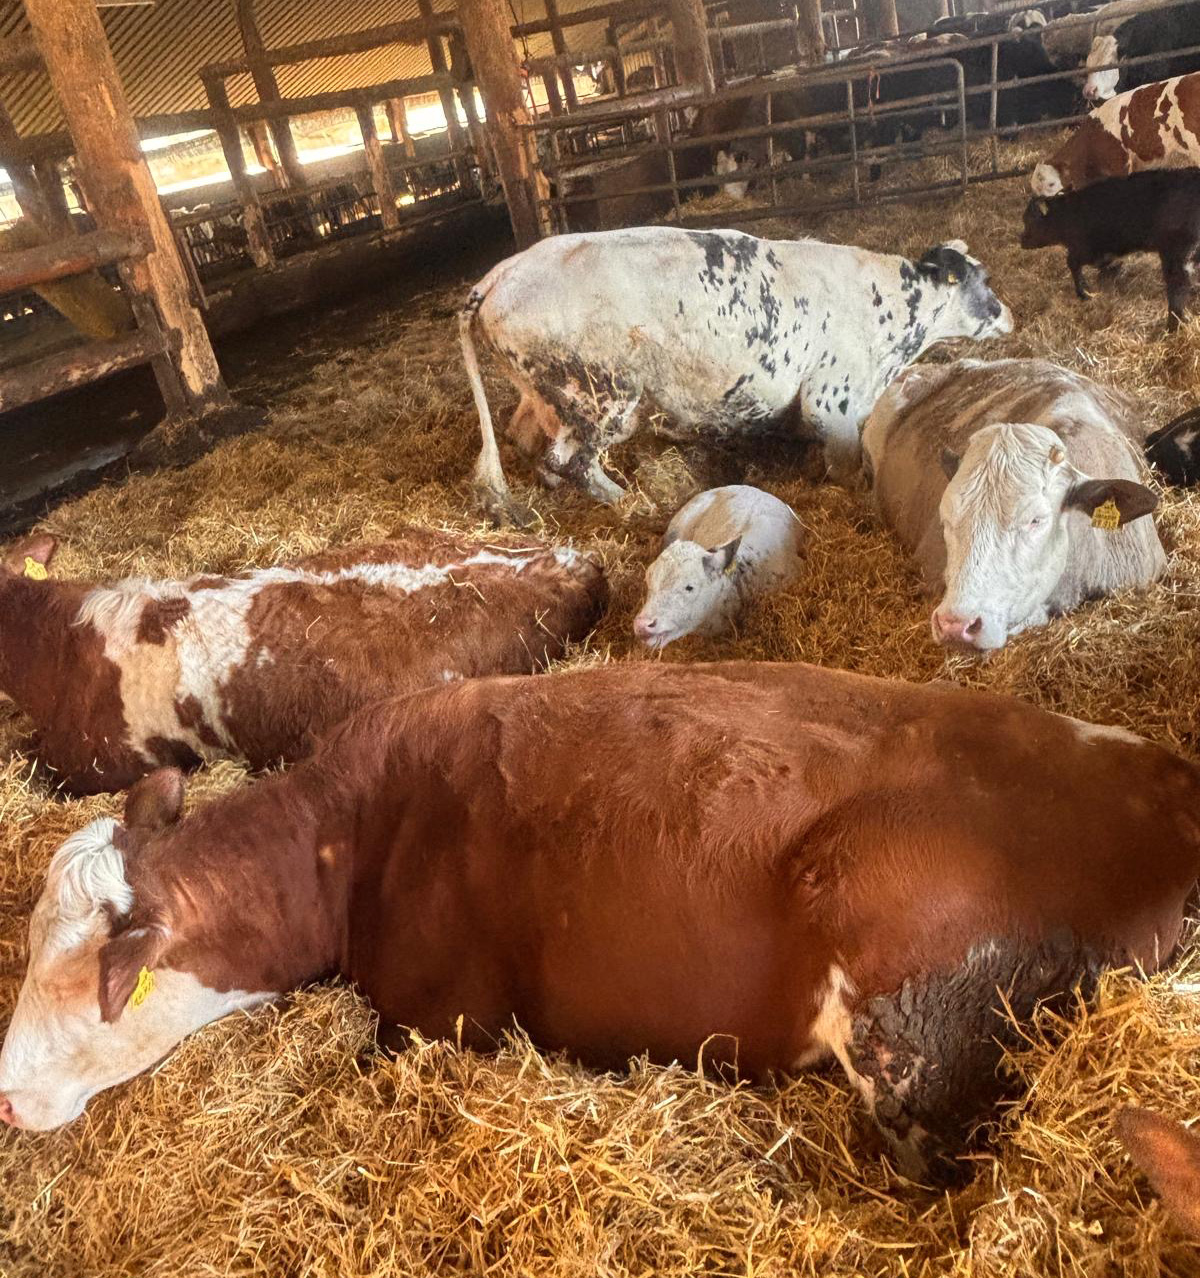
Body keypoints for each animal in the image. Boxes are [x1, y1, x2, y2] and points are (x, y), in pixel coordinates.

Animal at [3, 660, 1199, 1189]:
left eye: (84, 981)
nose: (8, 1100)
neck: (352, 835)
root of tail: (1157, 789)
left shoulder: (436, 1020)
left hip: (916, 1026)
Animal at [461, 227, 1013, 521]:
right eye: (983, 280)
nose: (1006, 313)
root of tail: (502, 273)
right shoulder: (831, 400)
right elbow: (844, 465)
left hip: (545, 393)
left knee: (528, 440)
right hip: (604, 395)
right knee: (572, 459)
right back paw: (635, 505)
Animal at [1020, 170, 1200, 330]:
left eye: (1030, 220)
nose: (1021, 240)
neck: (1069, 215)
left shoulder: (1085, 249)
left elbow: (1074, 263)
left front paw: (1084, 292)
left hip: (1177, 255)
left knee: (1178, 287)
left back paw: (1172, 325)